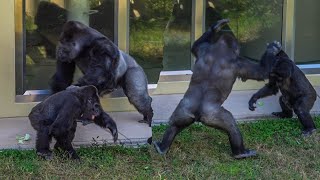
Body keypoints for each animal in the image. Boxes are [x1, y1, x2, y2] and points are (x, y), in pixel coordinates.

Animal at [152, 19, 272, 158]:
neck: (221, 49)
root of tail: (198, 114)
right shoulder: (240, 63)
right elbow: (261, 72)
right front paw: (273, 51)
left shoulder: (203, 48)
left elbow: (195, 46)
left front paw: (216, 26)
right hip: (213, 116)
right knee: (231, 126)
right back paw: (241, 153)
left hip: (183, 111)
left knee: (174, 125)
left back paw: (162, 147)